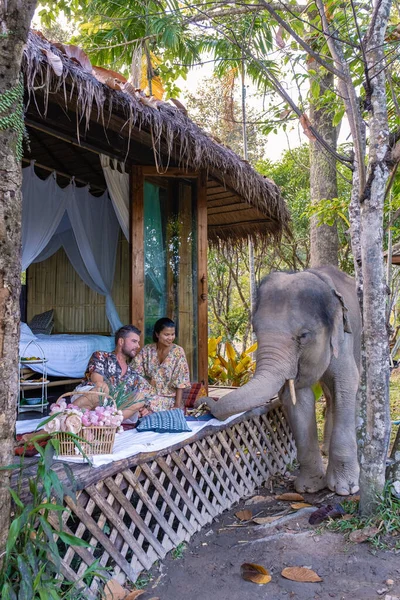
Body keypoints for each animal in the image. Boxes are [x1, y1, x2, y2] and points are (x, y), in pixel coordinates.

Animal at [208, 268, 360, 496]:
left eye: (303, 335)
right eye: (255, 330)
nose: (204, 403)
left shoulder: (344, 338)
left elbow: (347, 383)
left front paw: (345, 488)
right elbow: (296, 396)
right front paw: (308, 488)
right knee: (329, 394)